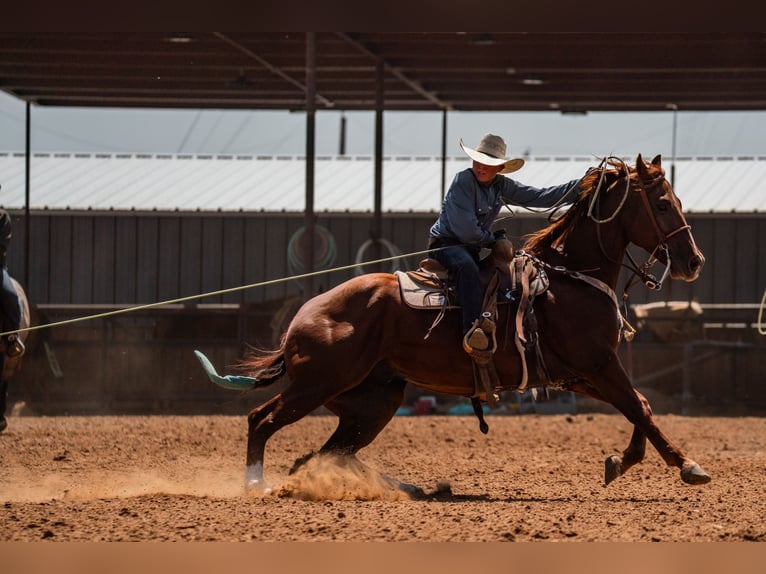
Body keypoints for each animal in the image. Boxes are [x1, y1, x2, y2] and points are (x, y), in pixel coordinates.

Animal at [196, 154, 708, 497]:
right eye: (664, 204)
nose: (693, 261)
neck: (567, 277)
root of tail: (305, 315)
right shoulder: (598, 365)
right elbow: (640, 407)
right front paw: (687, 465)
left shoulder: (580, 374)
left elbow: (640, 405)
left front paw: (621, 461)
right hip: (318, 384)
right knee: (262, 420)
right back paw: (257, 485)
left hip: (373, 401)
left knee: (326, 454)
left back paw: (408, 488)